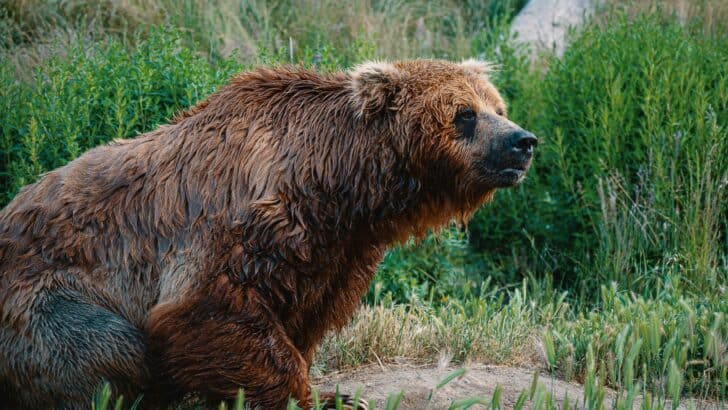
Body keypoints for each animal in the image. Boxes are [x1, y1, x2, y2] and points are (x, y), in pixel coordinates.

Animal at [0, 59, 537, 409]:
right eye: (464, 114)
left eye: (498, 105)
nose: (522, 141)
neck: (337, 186)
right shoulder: (239, 223)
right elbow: (209, 308)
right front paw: (312, 397)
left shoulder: (336, 252)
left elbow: (305, 318)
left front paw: (328, 391)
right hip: (42, 299)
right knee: (108, 346)